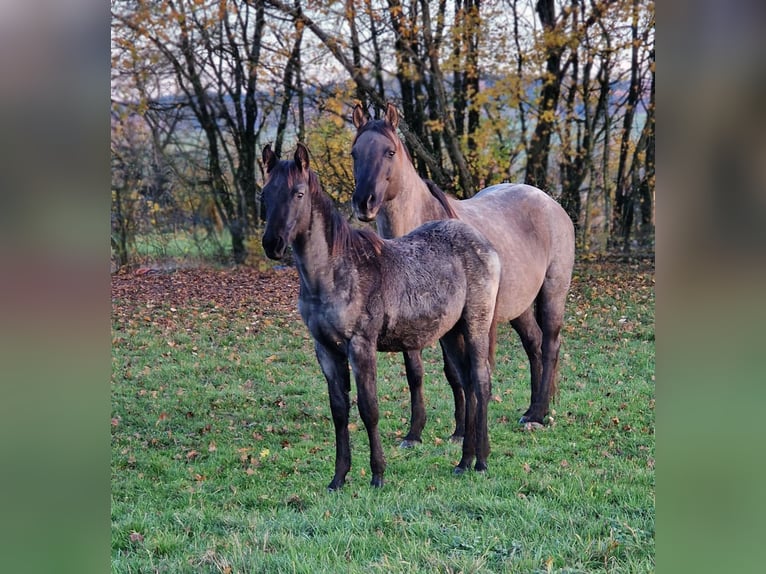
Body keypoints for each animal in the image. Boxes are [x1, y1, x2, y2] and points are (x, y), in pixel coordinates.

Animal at [260, 143, 502, 490]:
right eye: (264, 194)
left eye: (299, 193)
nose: (273, 244)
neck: (335, 272)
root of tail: (484, 244)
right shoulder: (326, 350)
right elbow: (339, 411)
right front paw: (338, 478)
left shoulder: (361, 345)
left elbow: (368, 408)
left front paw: (377, 474)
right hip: (451, 333)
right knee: (469, 383)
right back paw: (464, 461)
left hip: (475, 325)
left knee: (481, 382)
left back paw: (480, 462)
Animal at [351, 102, 575, 441]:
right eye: (354, 152)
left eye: (389, 152)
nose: (364, 202)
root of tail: (551, 203)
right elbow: (422, 372)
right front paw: (419, 433)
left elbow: (458, 370)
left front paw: (462, 431)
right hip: (518, 305)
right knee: (534, 344)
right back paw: (533, 409)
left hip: (552, 292)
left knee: (549, 344)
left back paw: (538, 415)